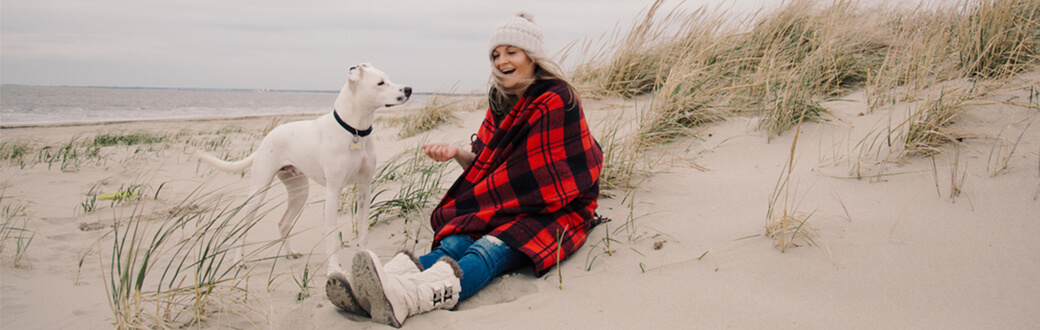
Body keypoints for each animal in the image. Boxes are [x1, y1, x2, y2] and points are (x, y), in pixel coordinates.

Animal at [195, 62, 409, 272]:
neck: (355, 131)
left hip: (299, 192)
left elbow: (363, 231)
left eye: (388, 79)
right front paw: (333, 268)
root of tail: (267, 139)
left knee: (283, 223)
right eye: (380, 83)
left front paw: (368, 259)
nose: (408, 89)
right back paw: (239, 260)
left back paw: (290, 253)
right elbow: (331, 236)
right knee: (244, 224)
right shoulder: (333, 191)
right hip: (259, 190)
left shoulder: (364, 187)